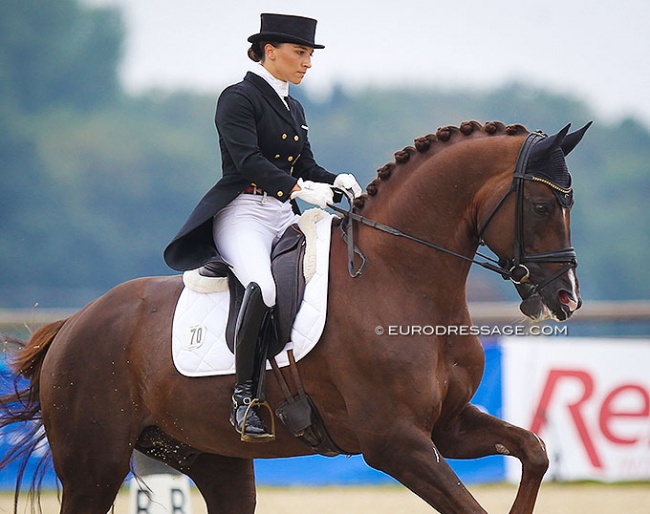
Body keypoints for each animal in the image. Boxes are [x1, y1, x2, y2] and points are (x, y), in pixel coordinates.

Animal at [0, 118, 588, 510]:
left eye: (568, 204)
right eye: (542, 206)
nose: (567, 299)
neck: (400, 276)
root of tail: (73, 325)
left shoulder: (448, 425)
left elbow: (535, 450)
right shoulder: (396, 443)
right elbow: (470, 503)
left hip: (212, 459)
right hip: (94, 468)